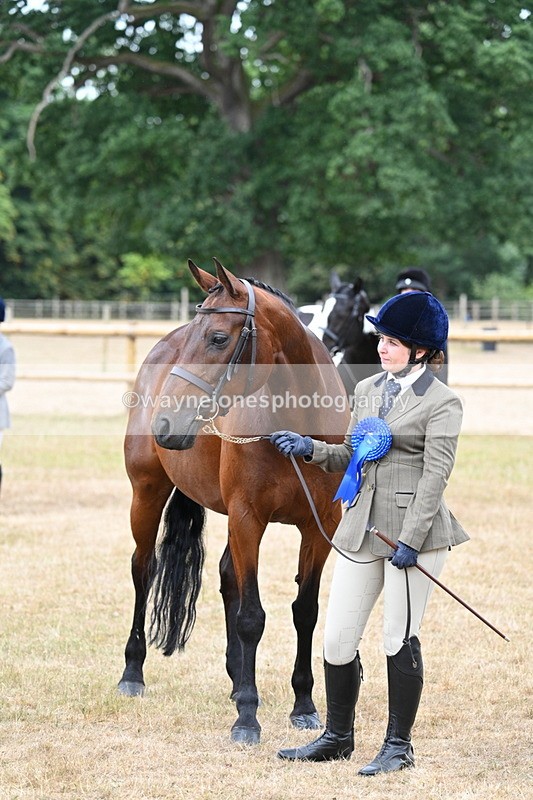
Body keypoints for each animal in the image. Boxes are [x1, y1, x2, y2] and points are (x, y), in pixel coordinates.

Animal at [118, 258, 350, 746]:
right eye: (194, 334)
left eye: (218, 338)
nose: (165, 424)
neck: (297, 423)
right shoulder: (248, 519)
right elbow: (251, 617)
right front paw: (247, 716)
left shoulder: (319, 525)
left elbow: (304, 611)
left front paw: (304, 705)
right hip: (146, 494)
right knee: (143, 570)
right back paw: (133, 673)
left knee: (227, 576)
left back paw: (235, 676)